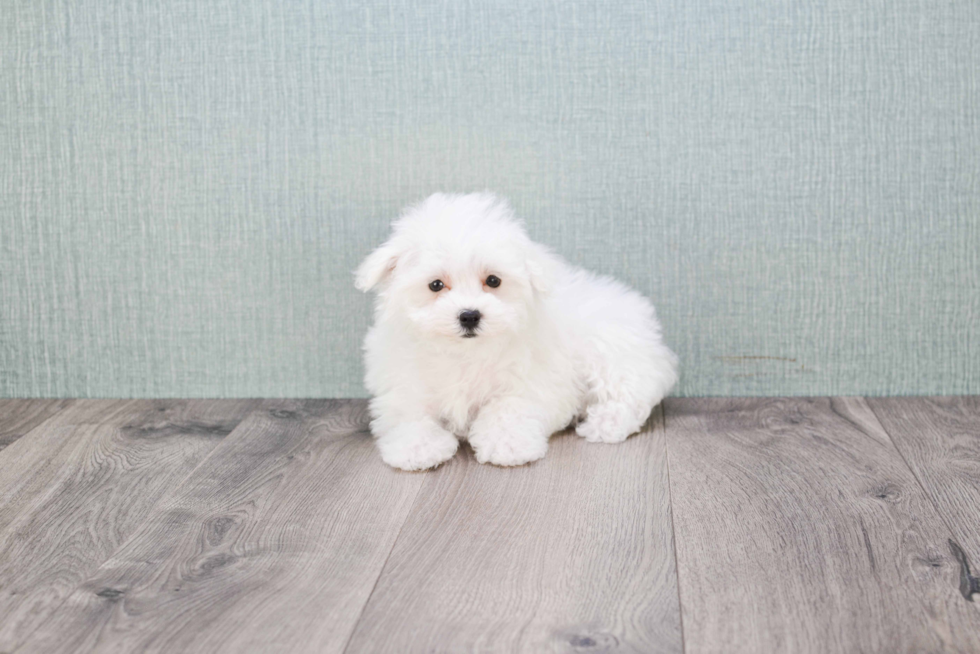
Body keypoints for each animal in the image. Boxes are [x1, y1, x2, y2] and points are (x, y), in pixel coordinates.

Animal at [354, 191, 680, 472]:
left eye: (493, 280)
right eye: (435, 285)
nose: (469, 315)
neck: (465, 353)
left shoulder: (536, 381)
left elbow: (508, 407)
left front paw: (506, 444)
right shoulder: (403, 384)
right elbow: (409, 415)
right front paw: (417, 447)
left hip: (614, 354)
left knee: (629, 395)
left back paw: (605, 424)